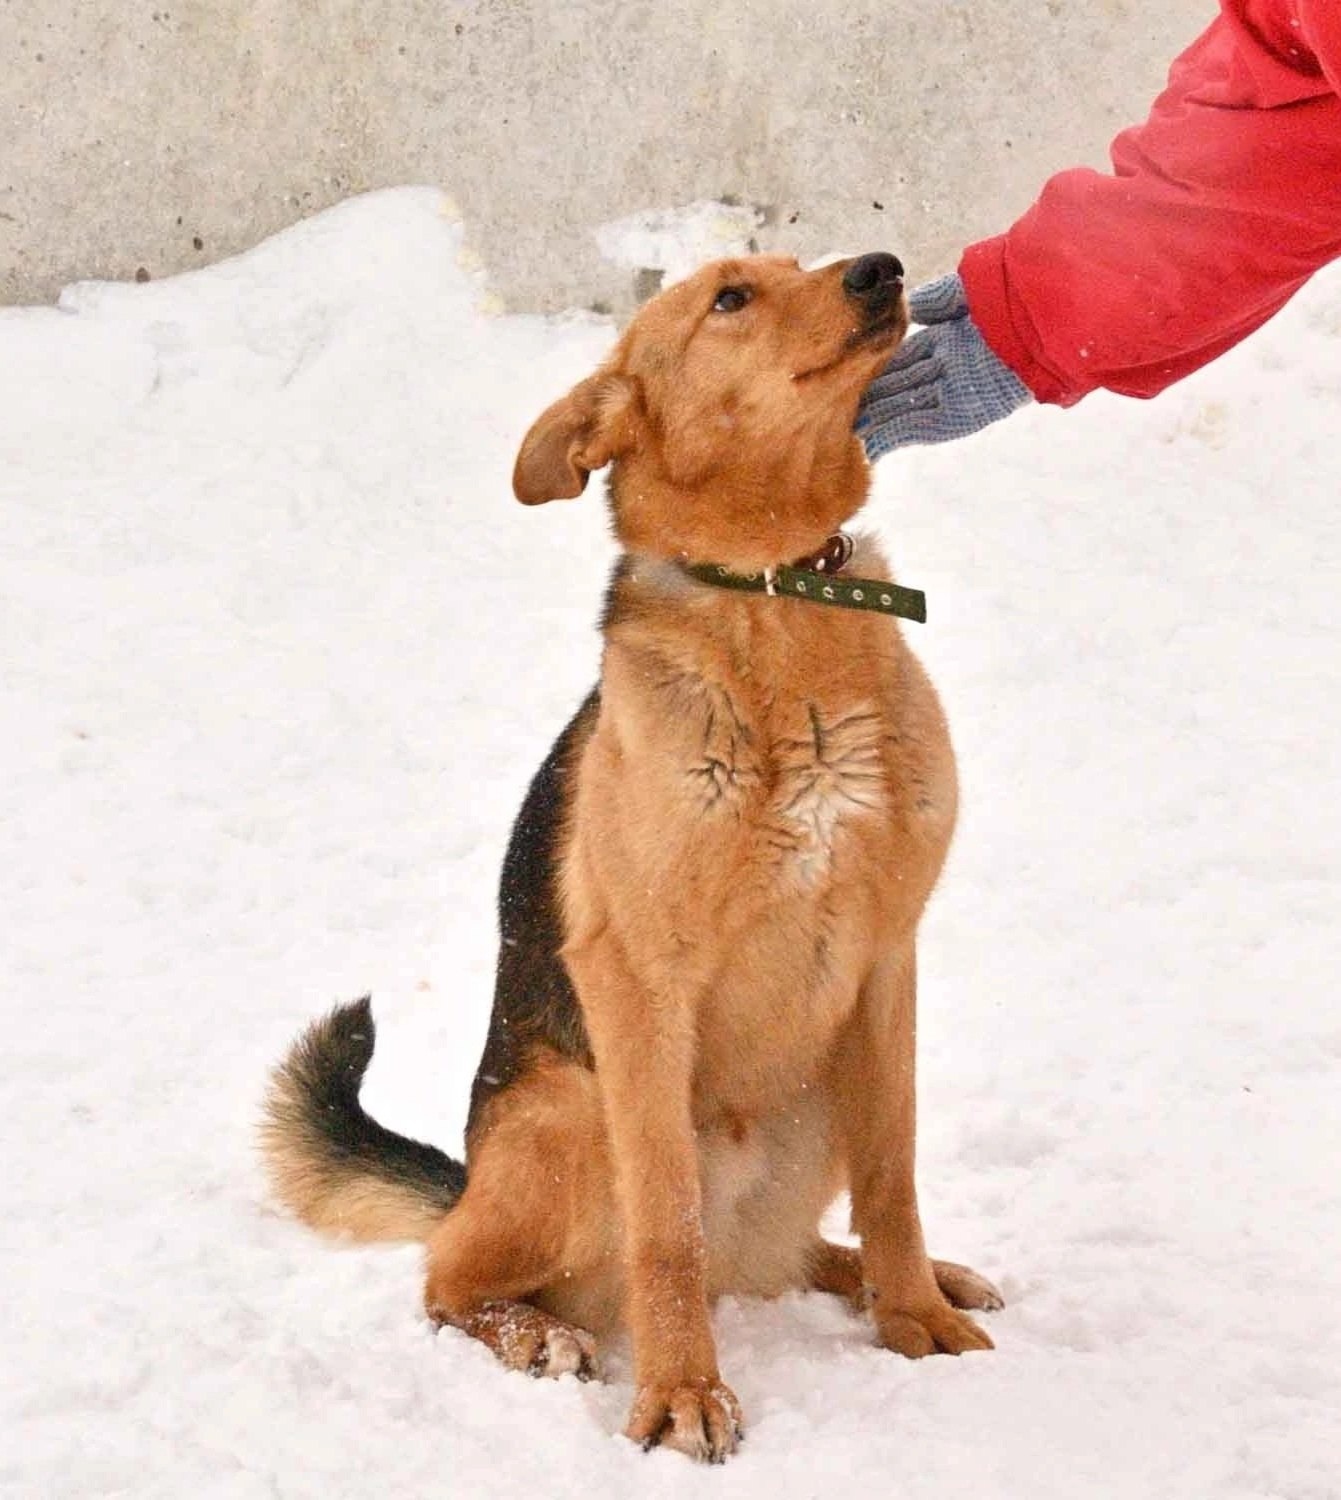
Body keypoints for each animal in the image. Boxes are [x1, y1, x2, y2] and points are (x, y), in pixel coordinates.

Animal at [262, 252, 996, 1458]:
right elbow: (668, 1226)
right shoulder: (638, 981)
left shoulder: (889, 960)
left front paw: (915, 1317)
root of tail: (466, 1180)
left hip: (817, 1102)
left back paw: (915, 1278)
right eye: (730, 299)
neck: (777, 591)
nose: (880, 270)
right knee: (451, 1277)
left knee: (792, 1248)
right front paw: (682, 1394)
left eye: (792, 265)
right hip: (571, 1121)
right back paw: (539, 1334)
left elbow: (895, 1178)